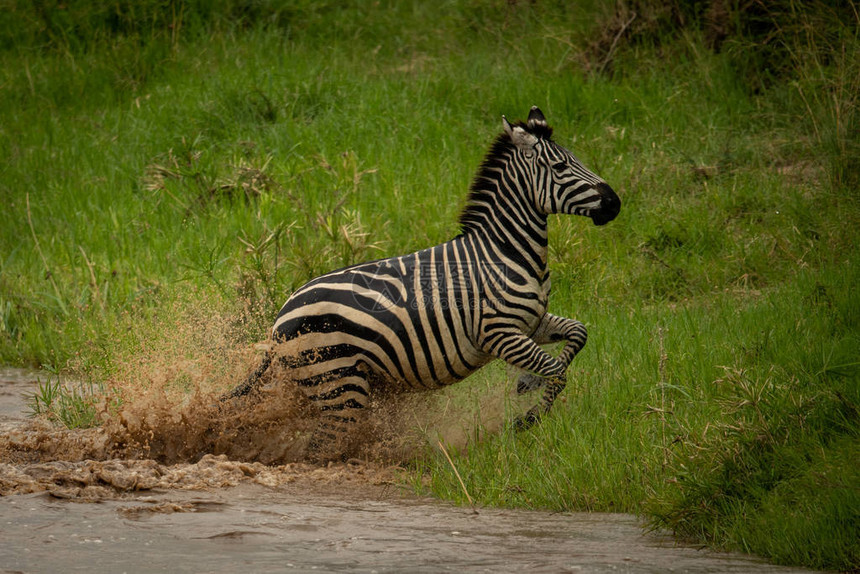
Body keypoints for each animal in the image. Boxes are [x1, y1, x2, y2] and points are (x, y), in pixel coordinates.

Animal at [222, 106, 620, 462]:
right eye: (561, 167)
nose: (615, 204)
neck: (505, 252)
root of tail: (279, 320)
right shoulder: (499, 333)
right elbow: (557, 372)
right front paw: (528, 417)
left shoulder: (531, 322)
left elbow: (578, 333)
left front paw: (528, 383)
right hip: (339, 384)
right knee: (319, 449)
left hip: (336, 384)